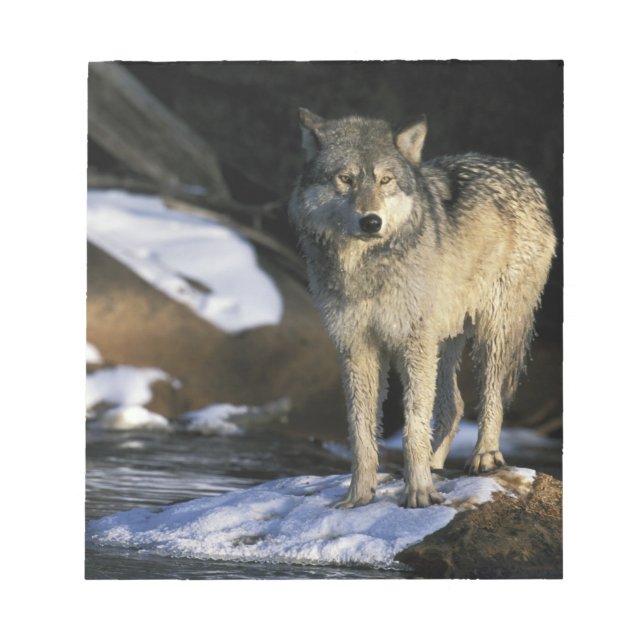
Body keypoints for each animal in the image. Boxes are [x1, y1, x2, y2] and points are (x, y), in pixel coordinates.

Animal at [289, 109, 556, 509]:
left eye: (385, 180)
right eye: (346, 179)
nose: (371, 221)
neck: (365, 269)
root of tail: (519, 171)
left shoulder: (411, 344)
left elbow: (412, 425)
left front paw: (418, 492)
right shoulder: (356, 347)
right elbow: (361, 433)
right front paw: (359, 495)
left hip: (491, 332)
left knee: (491, 396)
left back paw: (484, 456)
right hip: (443, 340)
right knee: (454, 405)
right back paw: (435, 464)